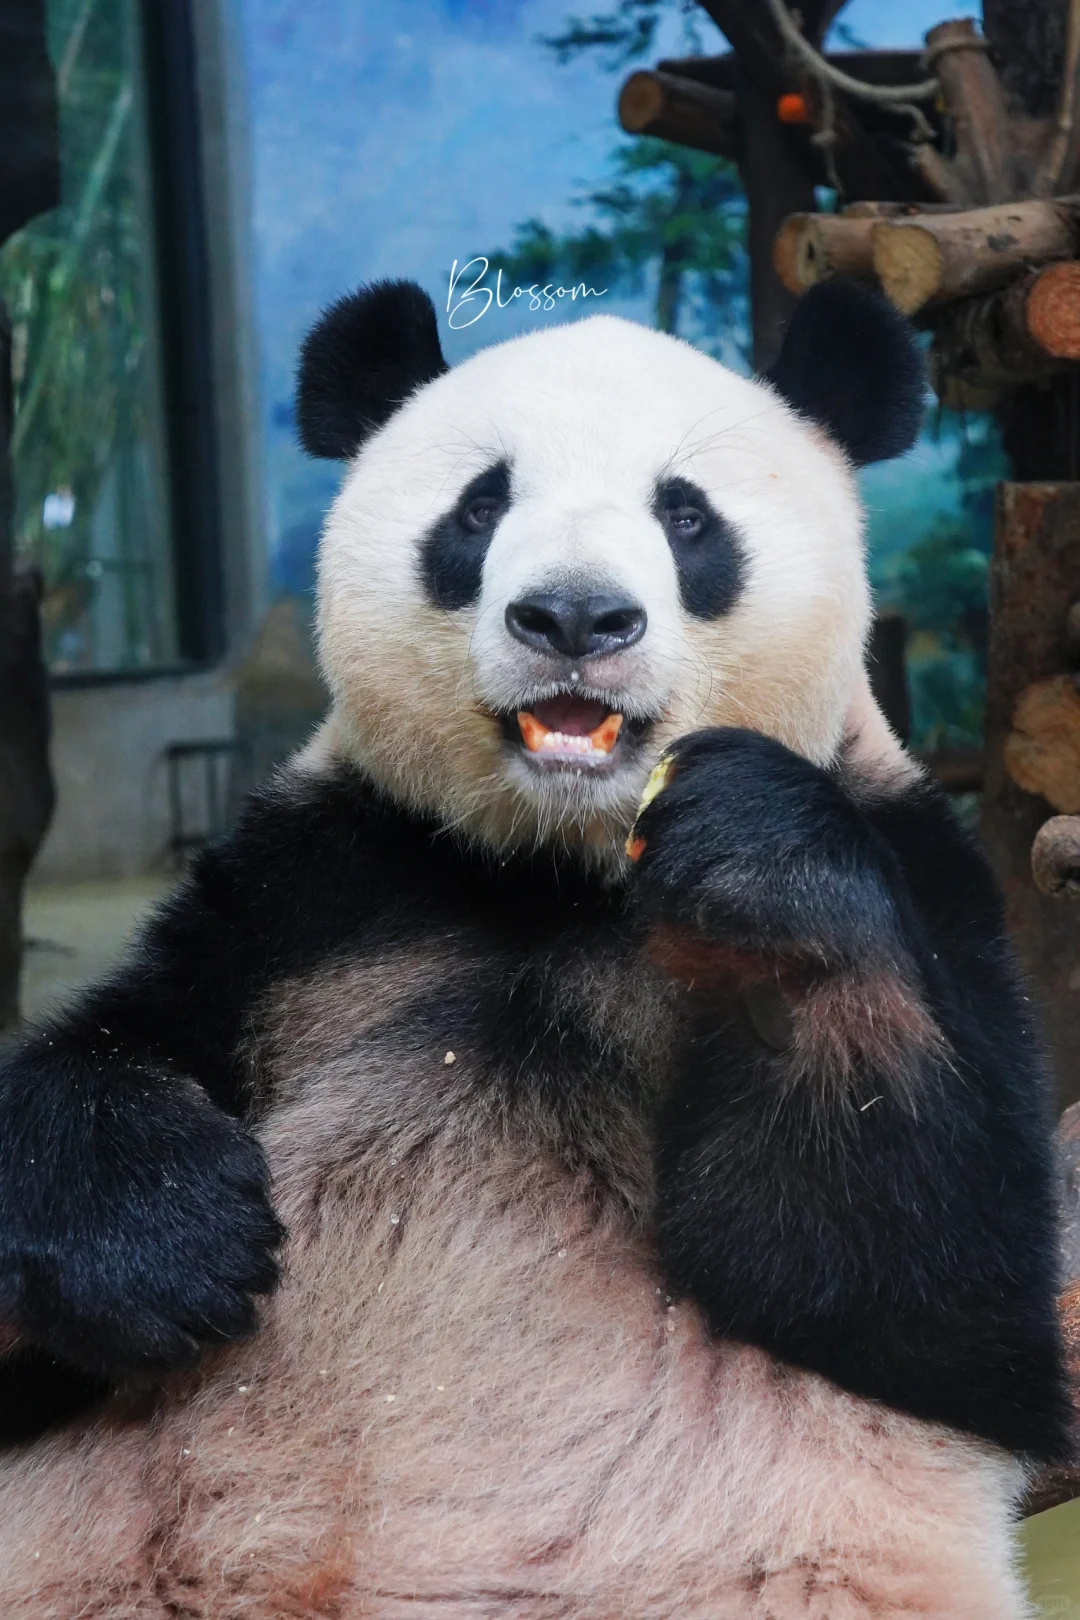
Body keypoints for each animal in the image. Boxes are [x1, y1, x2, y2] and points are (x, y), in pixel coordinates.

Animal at [0, 277, 1068, 1619]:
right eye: (479, 506)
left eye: (686, 514)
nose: (572, 615)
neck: (561, 871)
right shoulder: (311, 894)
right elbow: (115, 1048)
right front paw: (163, 1246)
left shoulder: (929, 875)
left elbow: (917, 1288)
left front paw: (758, 854)